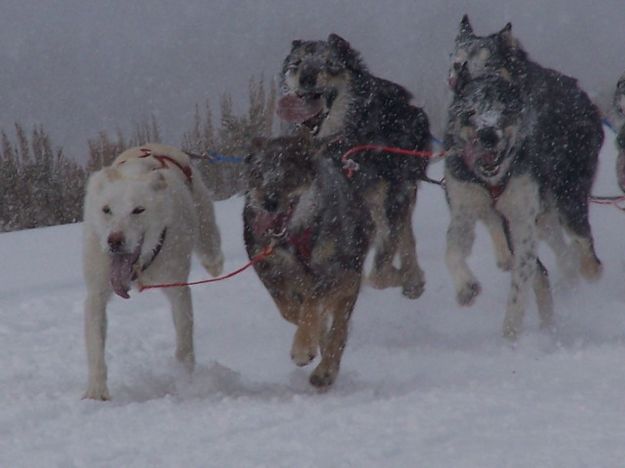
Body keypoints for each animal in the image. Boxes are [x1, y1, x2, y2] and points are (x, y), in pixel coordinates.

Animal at [82, 143, 224, 398]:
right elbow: (96, 345)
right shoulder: (96, 292)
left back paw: (215, 264)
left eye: (138, 210)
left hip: (204, 221)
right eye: (106, 209)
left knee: (211, 245)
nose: (114, 241)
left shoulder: (177, 287)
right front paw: (96, 392)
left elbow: (184, 341)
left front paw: (184, 380)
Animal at [244, 134, 370, 388]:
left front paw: (303, 347)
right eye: (258, 174)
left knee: (339, 329)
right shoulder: (268, 270)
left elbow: (313, 304)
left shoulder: (336, 271)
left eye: (289, 174)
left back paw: (326, 370)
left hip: (350, 279)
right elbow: (289, 309)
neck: (296, 237)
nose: (268, 202)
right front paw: (310, 336)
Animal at [276, 33, 432, 298]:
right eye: (296, 64)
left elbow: (379, 274)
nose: (306, 78)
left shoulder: (388, 201)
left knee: (403, 234)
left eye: (330, 62)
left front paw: (406, 278)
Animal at [442, 16, 604, 338]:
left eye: (487, 60)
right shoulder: (465, 208)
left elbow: (520, 289)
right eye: (458, 60)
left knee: (583, 248)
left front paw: (510, 335)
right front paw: (466, 287)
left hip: (568, 200)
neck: (492, 179)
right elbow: (452, 248)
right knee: (556, 253)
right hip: (543, 218)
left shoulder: (522, 223)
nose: (488, 135)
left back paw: (586, 271)